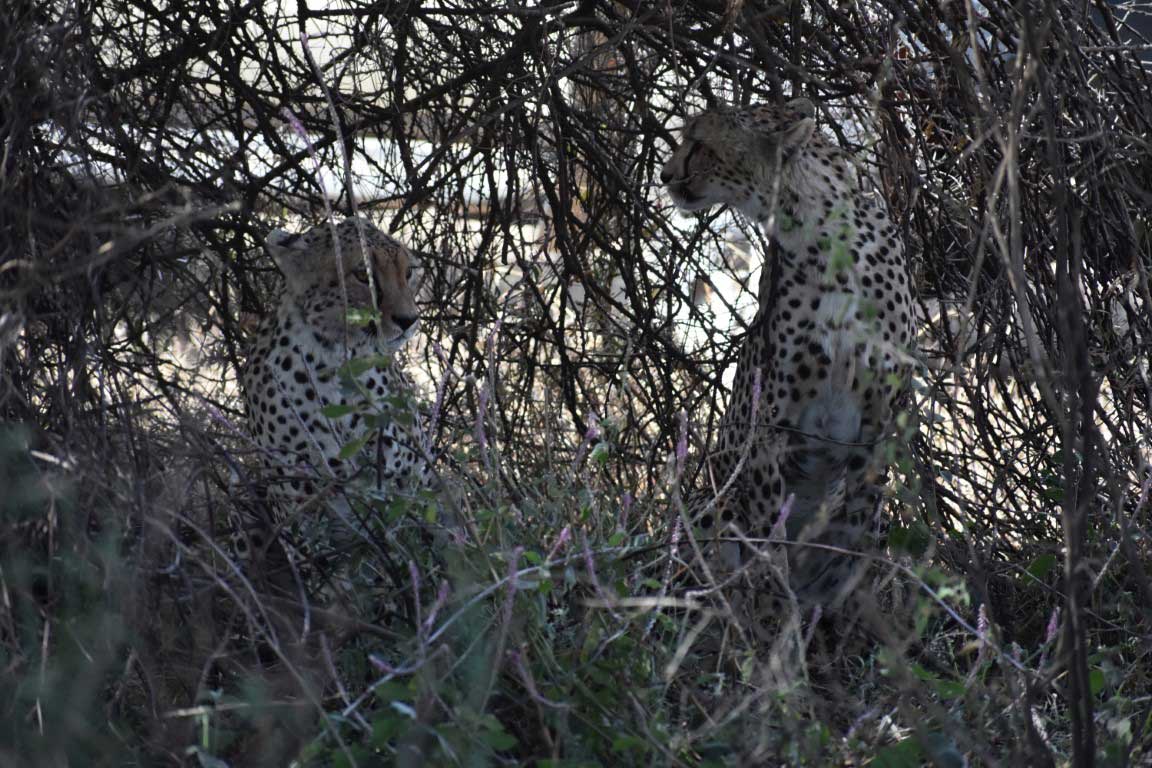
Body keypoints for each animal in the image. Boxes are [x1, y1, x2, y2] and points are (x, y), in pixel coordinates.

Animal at [236, 216, 430, 571]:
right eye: (362, 274)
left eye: (408, 272)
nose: (408, 320)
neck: (335, 357)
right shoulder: (301, 506)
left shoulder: (402, 484)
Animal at [663, 96, 912, 626]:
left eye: (699, 143)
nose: (665, 174)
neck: (819, 231)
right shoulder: (769, 428)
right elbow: (767, 548)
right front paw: (774, 626)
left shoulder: (878, 423)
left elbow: (851, 550)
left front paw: (841, 629)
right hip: (711, 500)